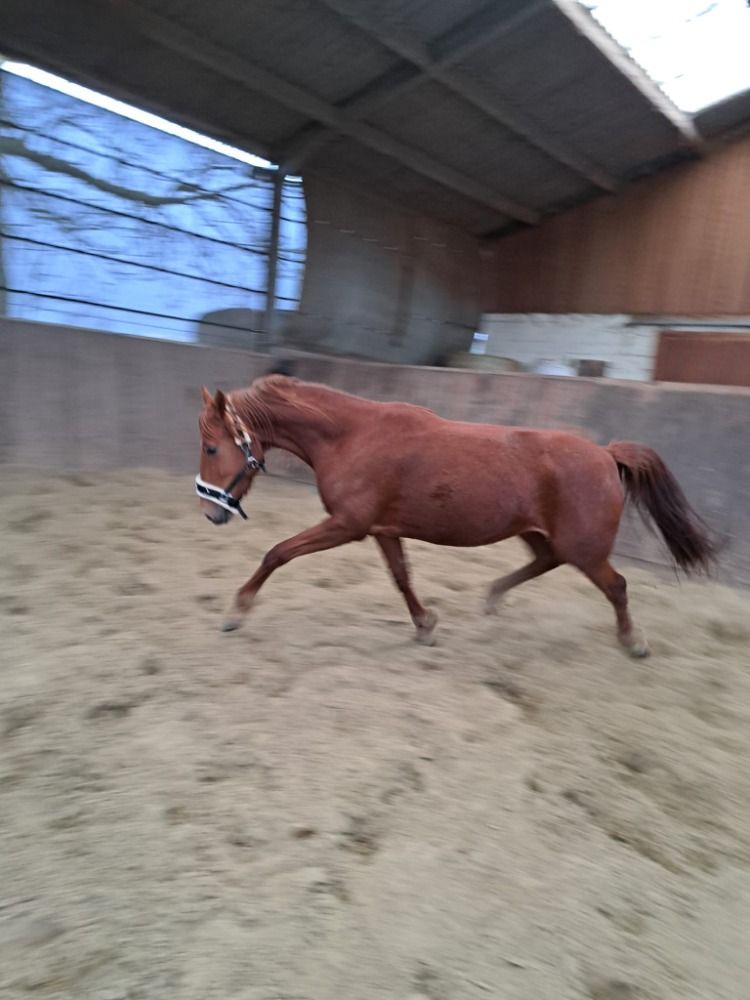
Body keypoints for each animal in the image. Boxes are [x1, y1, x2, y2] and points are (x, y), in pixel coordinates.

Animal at [196, 375, 715, 657]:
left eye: (211, 447)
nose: (209, 512)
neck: (352, 437)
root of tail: (607, 454)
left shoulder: (348, 525)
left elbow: (277, 553)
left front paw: (236, 612)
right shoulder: (381, 529)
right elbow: (402, 578)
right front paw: (426, 625)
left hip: (583, 547)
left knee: (617, 586)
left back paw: (633, 642)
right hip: (539, 534)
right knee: (545, 562)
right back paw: (493, 597)